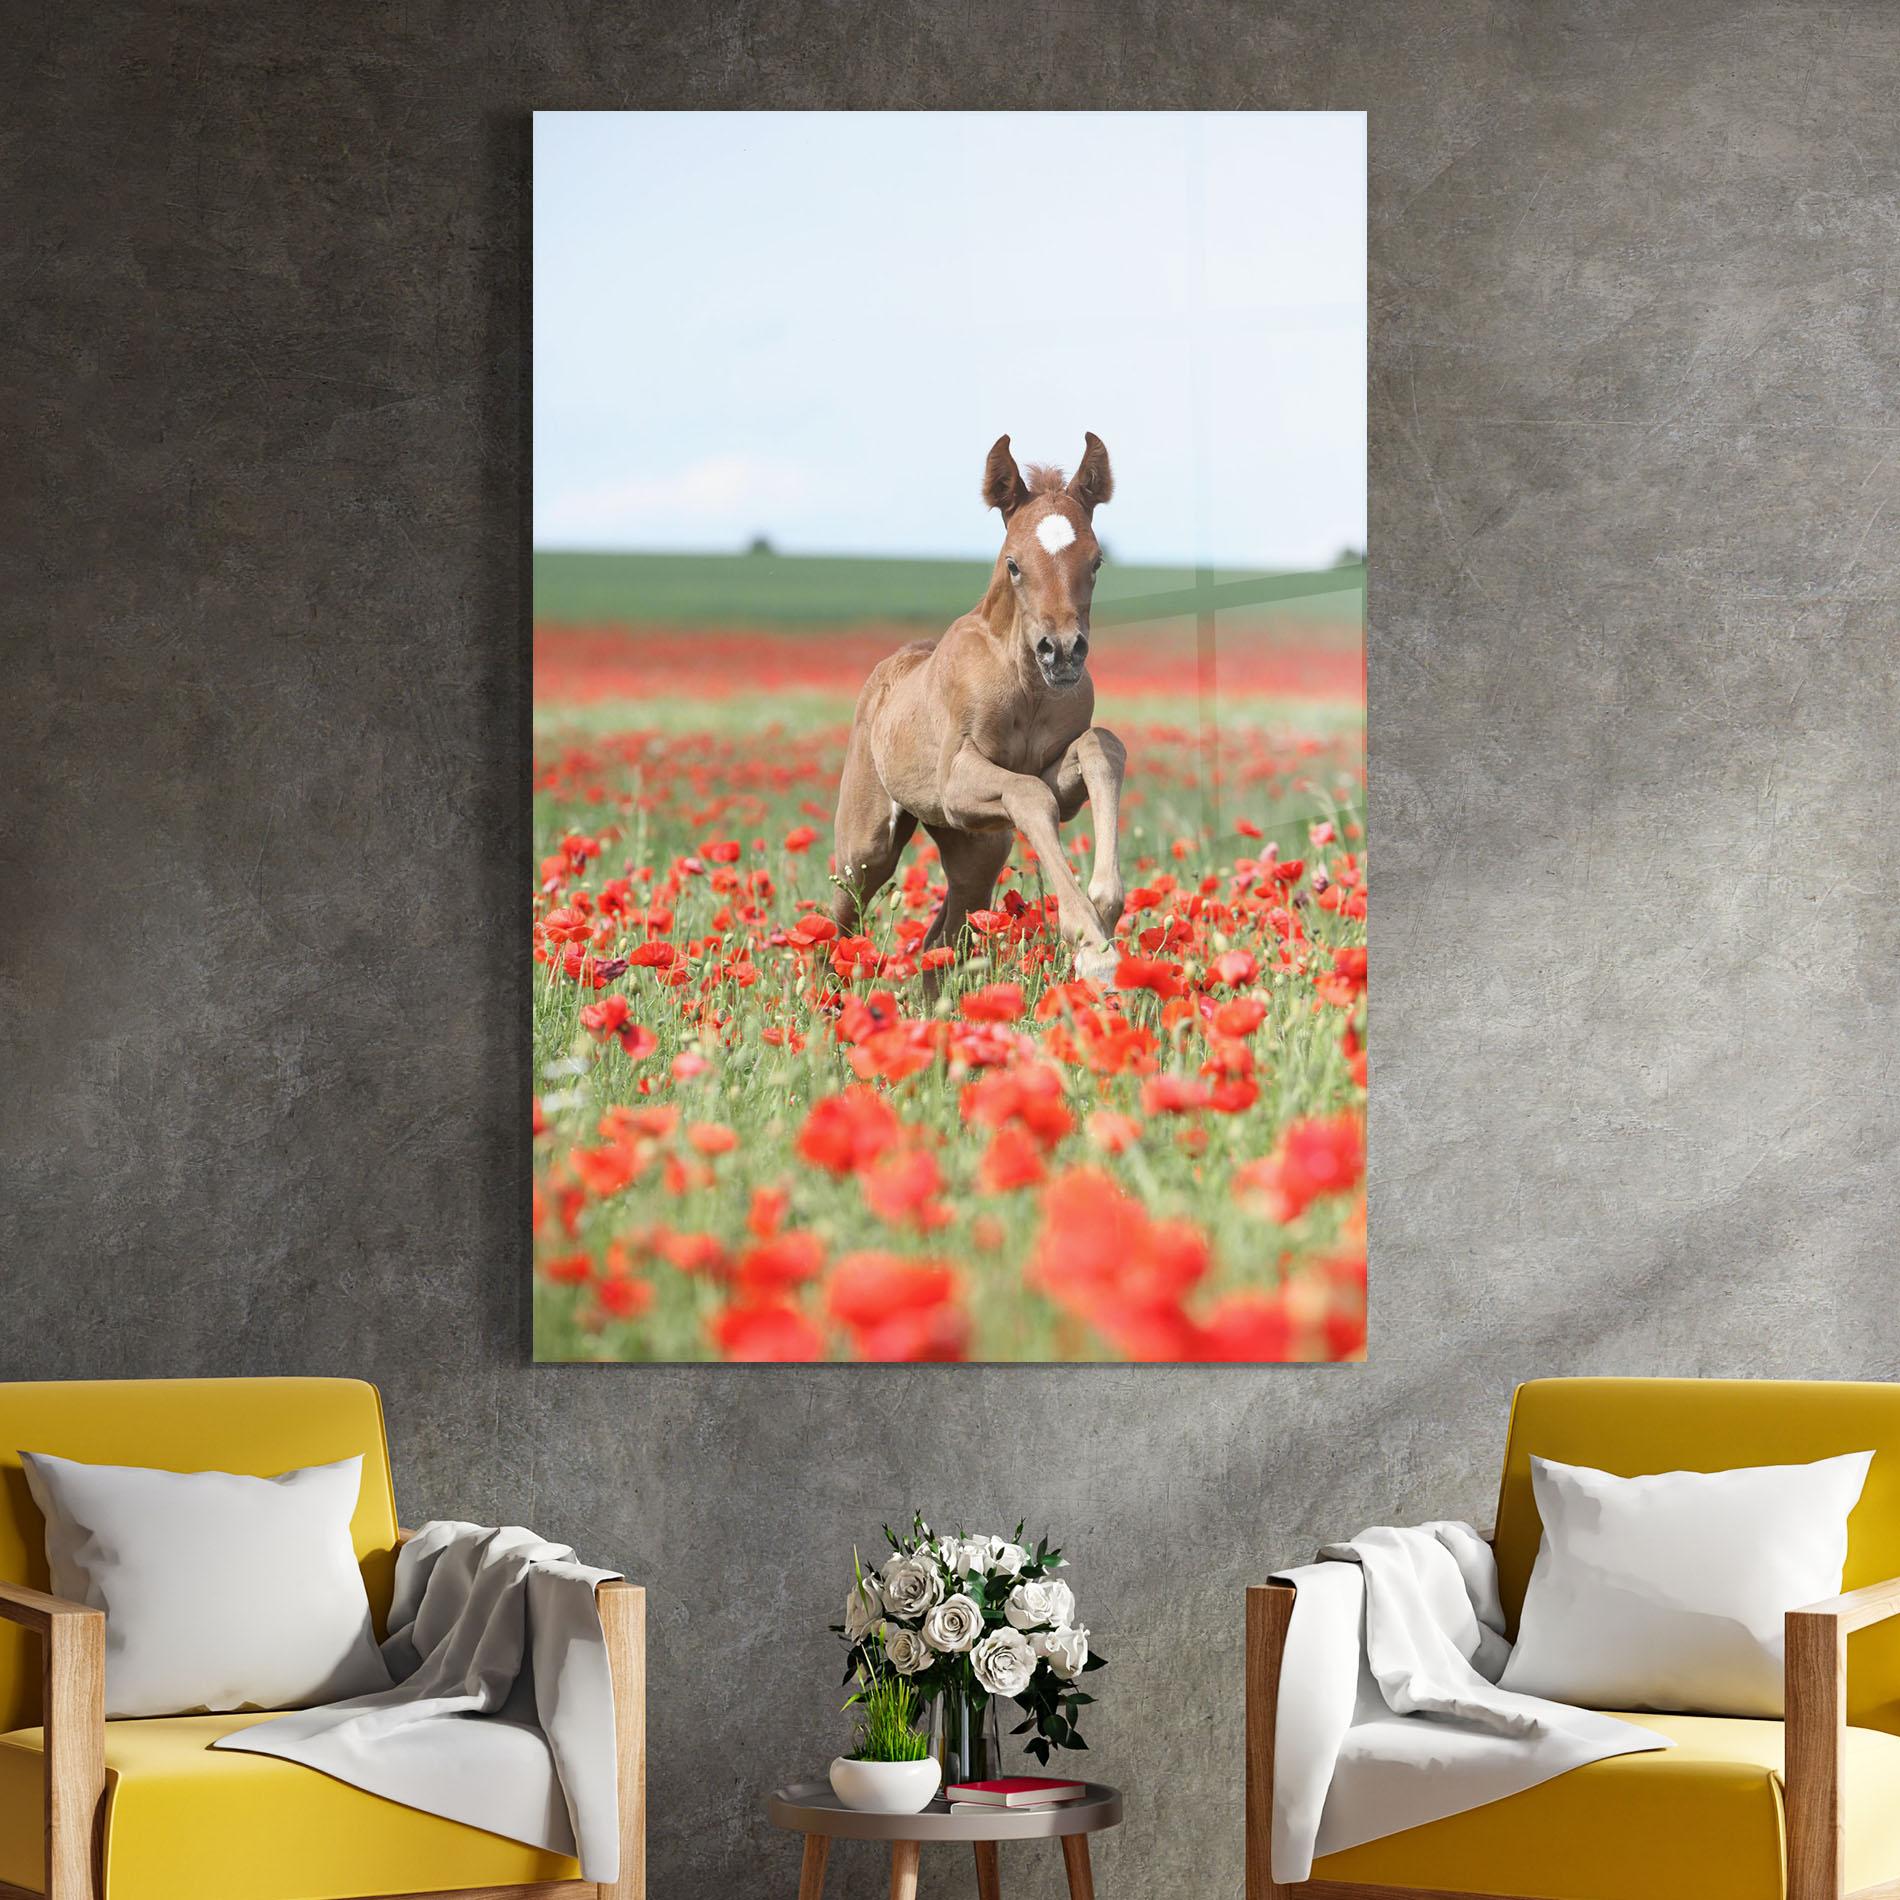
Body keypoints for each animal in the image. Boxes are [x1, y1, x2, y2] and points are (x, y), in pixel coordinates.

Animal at [829, 432, 1127, 984]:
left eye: (1096, 562)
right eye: (1013, 563)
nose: (1062, 652)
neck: (1027, 687)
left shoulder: (1053, 782)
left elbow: (1099, 748)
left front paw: (1104, 908)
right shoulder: (955, 783)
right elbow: (1030, 795)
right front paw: (1092, 946)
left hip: (977, 848)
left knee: (941, 940)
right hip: (867, 847)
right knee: (838, 920)